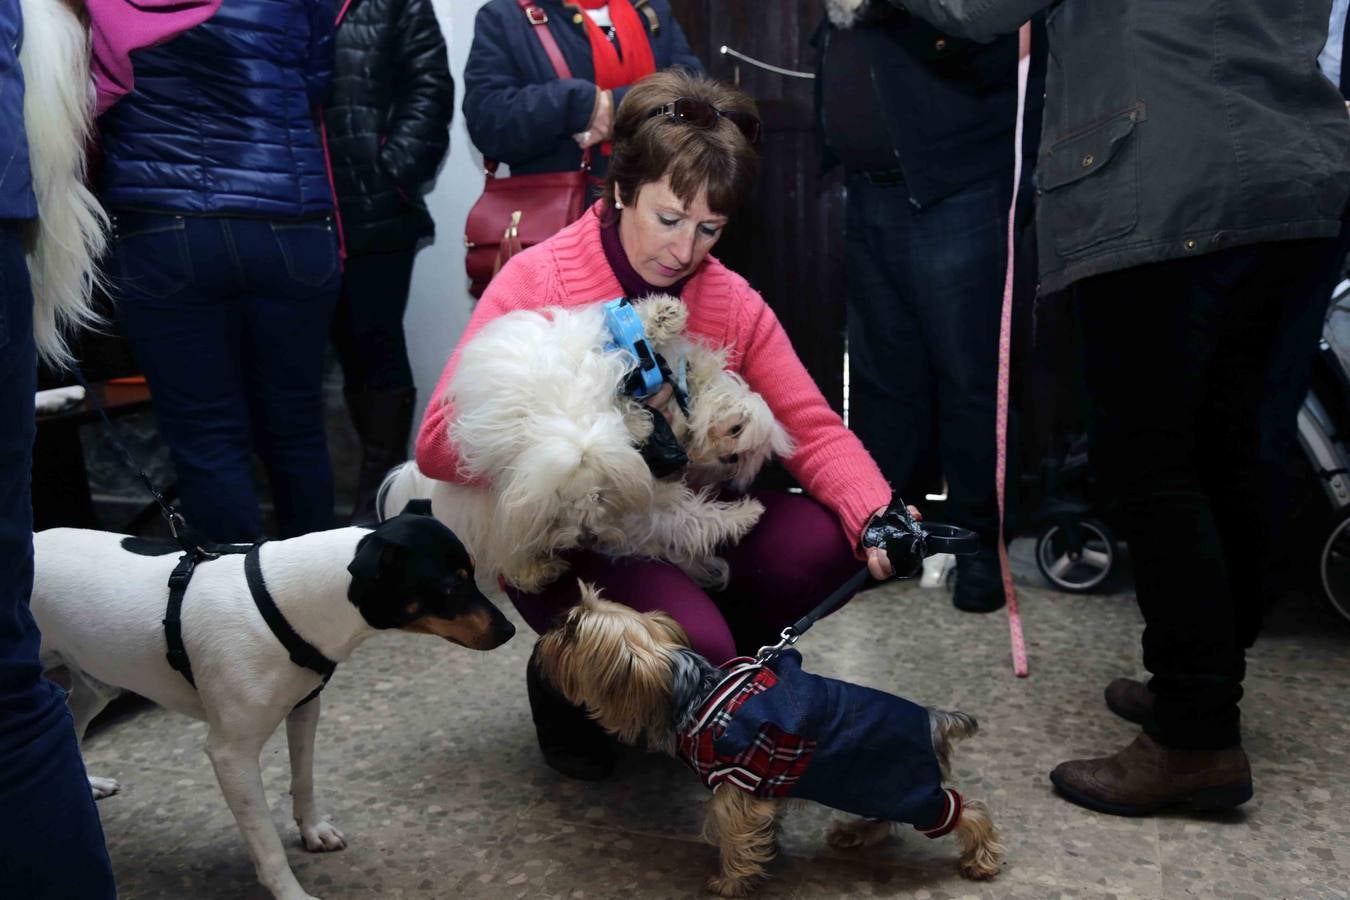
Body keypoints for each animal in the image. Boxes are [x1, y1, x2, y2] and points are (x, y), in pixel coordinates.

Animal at [32, 510, 515, 895]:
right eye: (450, 586)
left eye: (471, 574)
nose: (510, 630)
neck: (287, 601)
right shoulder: (232, 756)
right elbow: (264, 840)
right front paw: (291, 893)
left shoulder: (304, 707)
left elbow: (303, 778)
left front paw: (313, 830)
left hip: (94, 684)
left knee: (71, 719)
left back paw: (87, 783)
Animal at [383, 296, 788, 591]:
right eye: (737, 430)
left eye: (742, 458)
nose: (729, 459)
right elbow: (629, 330)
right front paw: (664, 314)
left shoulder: (651, 501)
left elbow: (694, 519)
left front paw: (744, 513)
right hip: (505, 508)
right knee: (509, 551)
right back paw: (538, 569)